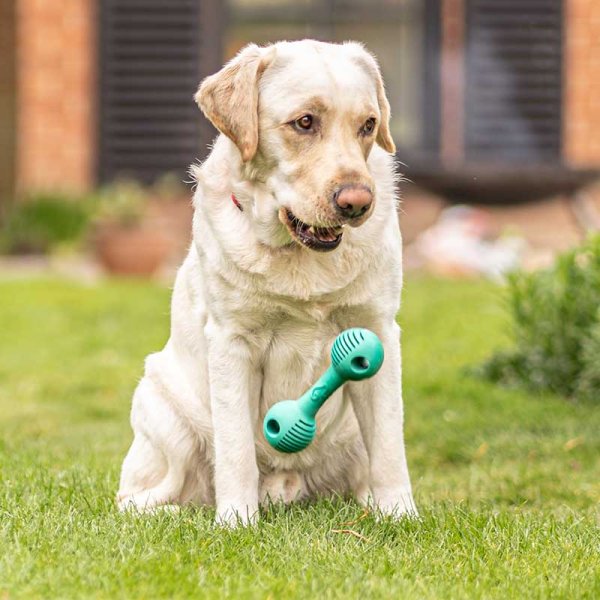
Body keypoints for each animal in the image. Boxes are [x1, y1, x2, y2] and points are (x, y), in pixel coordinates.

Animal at [117, 39, 418, 524]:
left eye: (368, 125)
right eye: (305, 122)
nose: (357, 203)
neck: (299, 256)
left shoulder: (378, 330)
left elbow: (390, 446)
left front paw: (401, 517)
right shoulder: (231, 341)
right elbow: (236, 447)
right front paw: (236, 523)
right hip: (162, 406)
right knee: (139, 498)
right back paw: (181, 513)